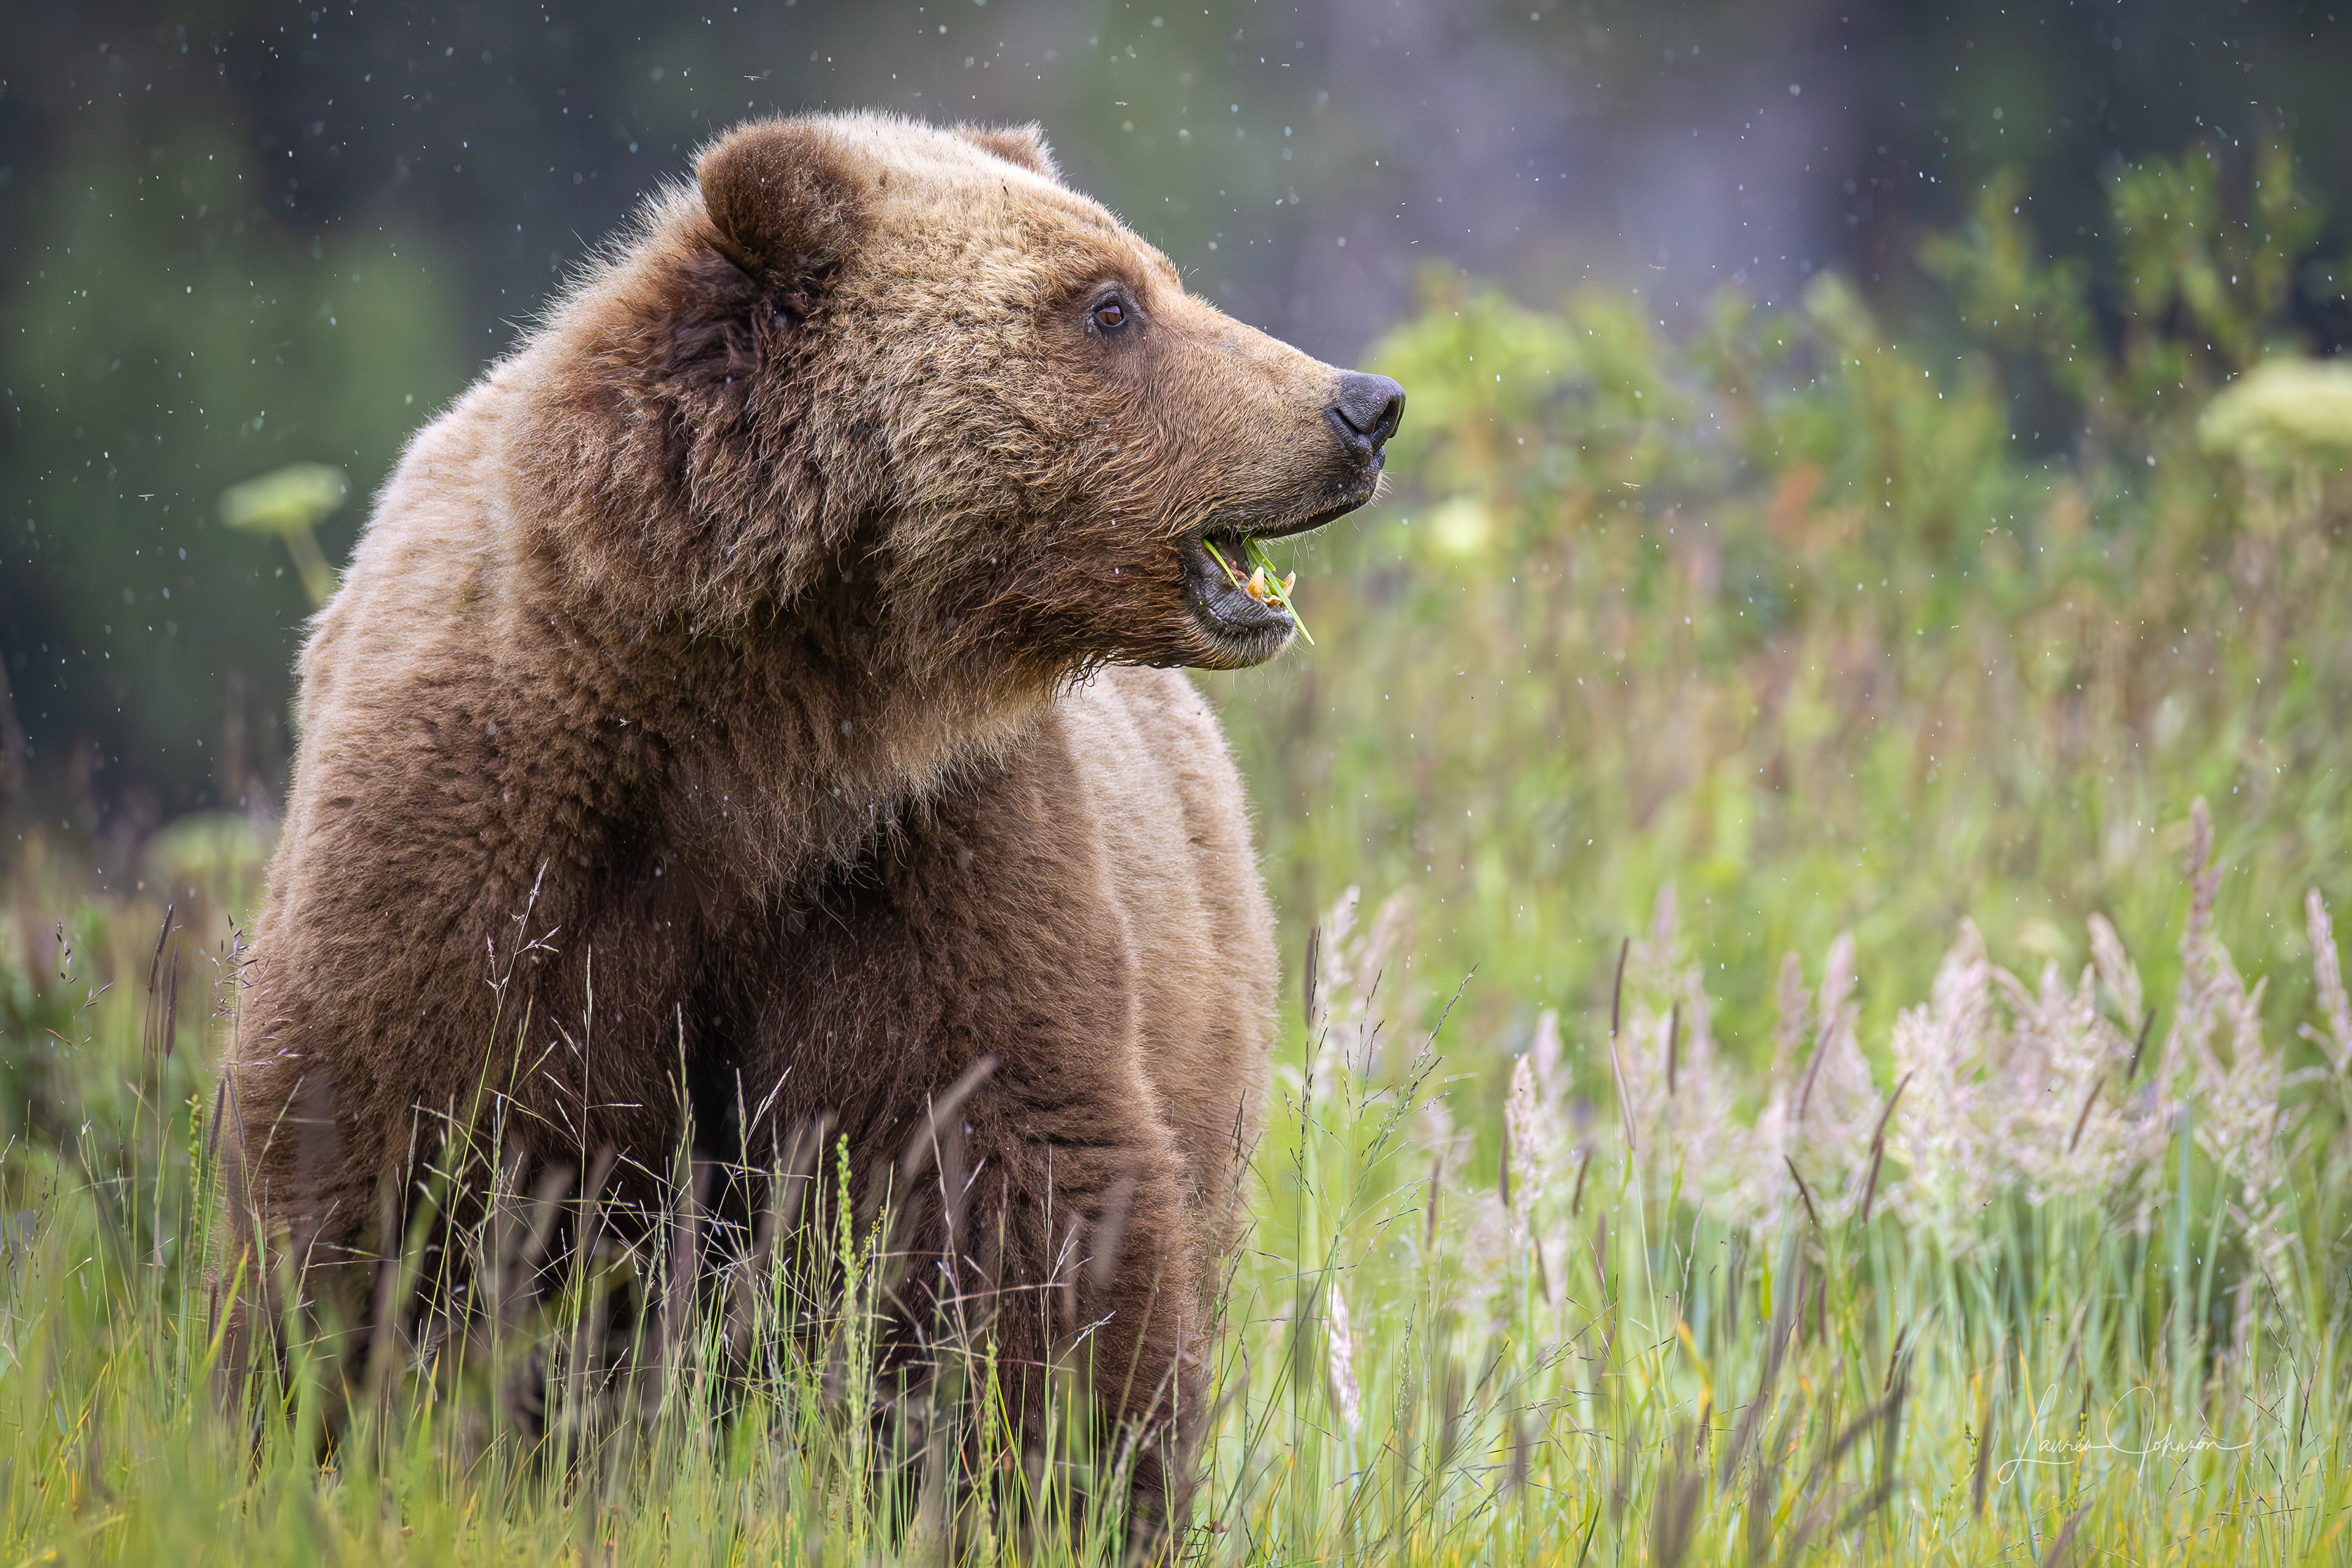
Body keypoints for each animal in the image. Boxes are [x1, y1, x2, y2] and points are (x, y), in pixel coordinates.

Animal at [220, 111, 1404, 1543]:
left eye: (1150, 277)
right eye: (1109, 306)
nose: (1362, 405)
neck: (747, 722)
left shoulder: (924, 853)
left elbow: (1011, 1193)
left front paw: (1054, 1487)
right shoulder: (477, 838)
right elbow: (384, 1169)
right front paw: (339, 1439)